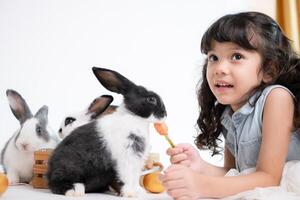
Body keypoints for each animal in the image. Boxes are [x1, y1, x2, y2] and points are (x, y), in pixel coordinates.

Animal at [48, 67, 168, 197]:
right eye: (151, 99)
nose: (165, 114)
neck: (134, 117)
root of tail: (48, 172)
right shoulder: (126, 157)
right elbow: (127, 177)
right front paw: (129, 194)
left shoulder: (137, 159)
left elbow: (135, 177)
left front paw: (139, 192)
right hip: (68, 168)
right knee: (57, 184)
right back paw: (74, 191)